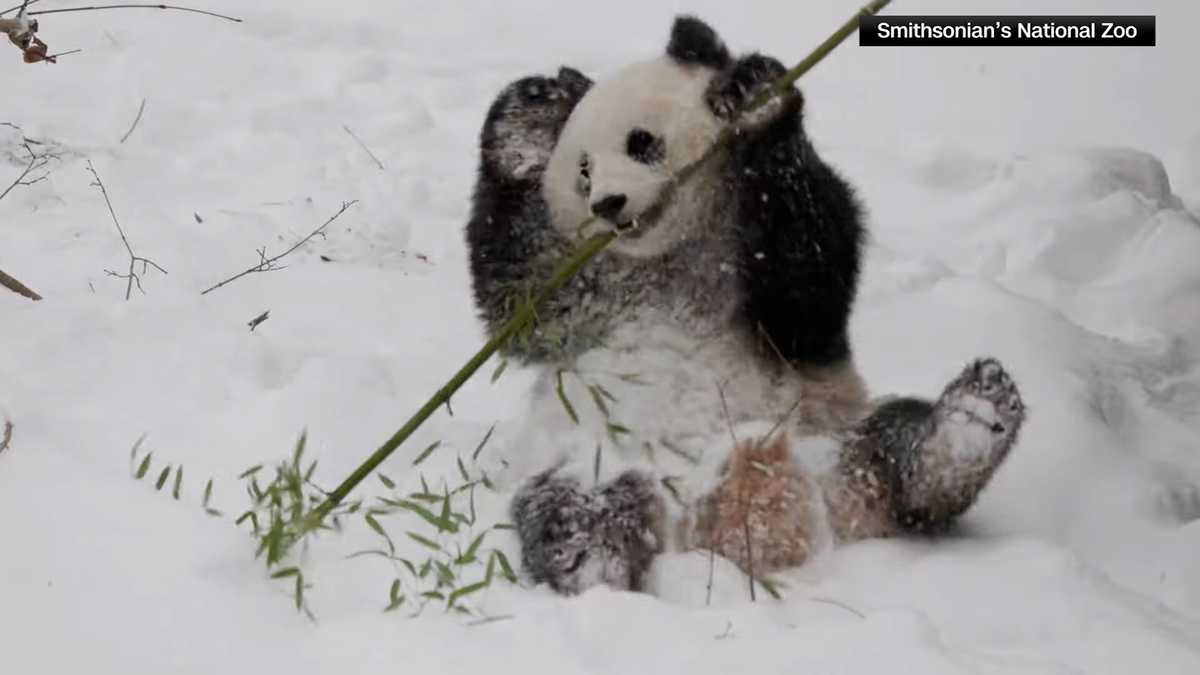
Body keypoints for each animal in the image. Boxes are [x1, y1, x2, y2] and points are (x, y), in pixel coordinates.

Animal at [465, 15, 1026, 595]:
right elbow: (524, 302)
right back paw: (589, 555)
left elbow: (806, 295)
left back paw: (970, 419)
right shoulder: (591, 281)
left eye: (641, 142)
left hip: (831, 434)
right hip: (594, 445)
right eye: (583, 171)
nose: (608, 204)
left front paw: (759, 99)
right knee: (572, 496)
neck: (671, 254)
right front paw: (531, 115)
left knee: (900, 453)